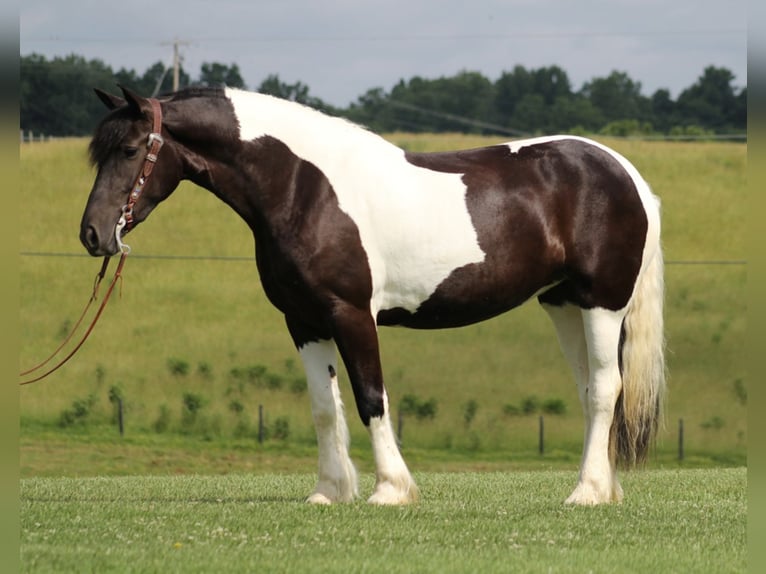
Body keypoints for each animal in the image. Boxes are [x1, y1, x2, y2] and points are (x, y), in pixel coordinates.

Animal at [81, 83, 664, 506]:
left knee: (605, 389)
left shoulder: (352, 314)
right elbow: (324, 407)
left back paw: (586, 493)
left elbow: (370, 398)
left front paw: (391, 490)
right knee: (590, 391)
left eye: (130, 150)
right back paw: (602, 488)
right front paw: (328, 492)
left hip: (602, 303)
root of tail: (626, 172)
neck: (304, 187)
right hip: (563, 304)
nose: (93, 234)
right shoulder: (303, 320)